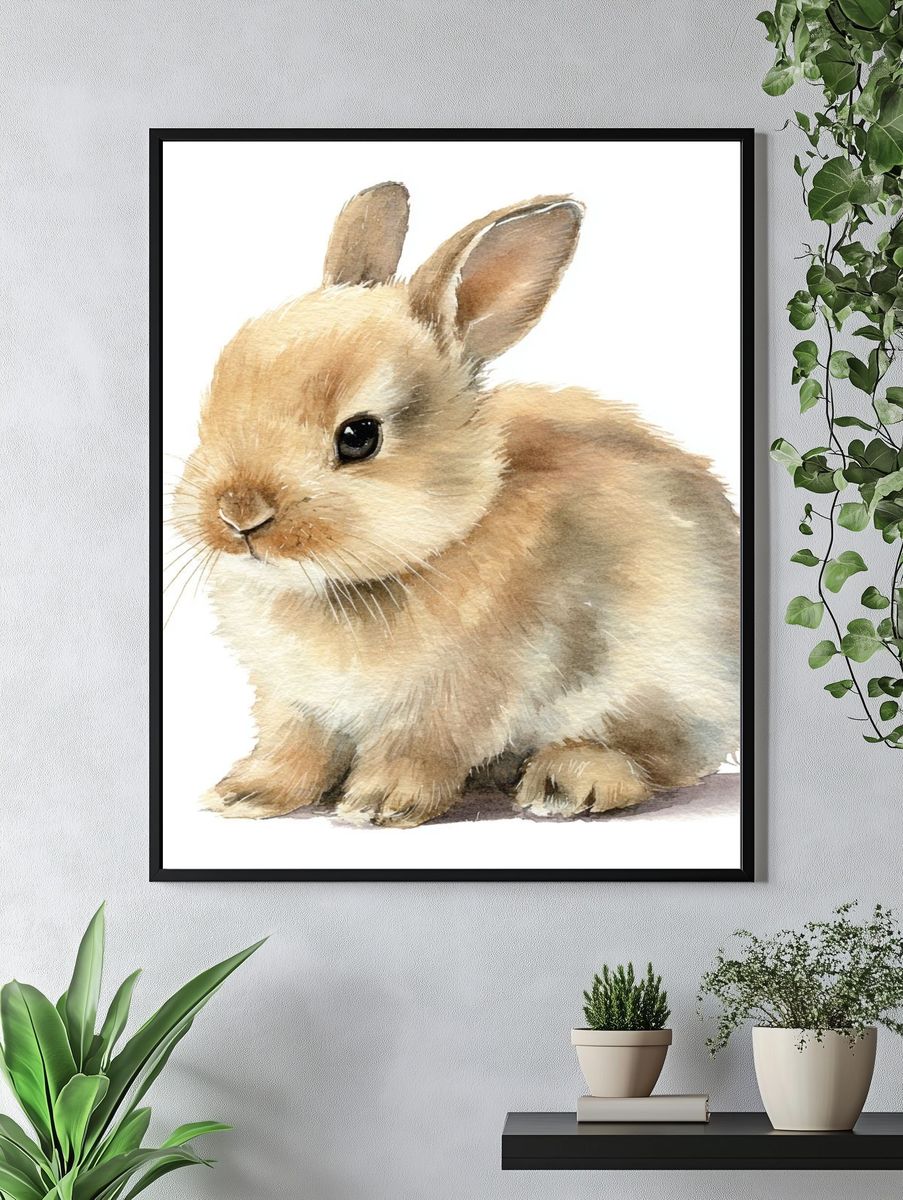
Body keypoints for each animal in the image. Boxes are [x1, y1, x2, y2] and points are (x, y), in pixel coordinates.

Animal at [171, 181, 740, 828]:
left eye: (359, 436)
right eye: (216, 396)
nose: (237, 513)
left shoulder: (463, 693)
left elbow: (420, 747)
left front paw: (380, 804)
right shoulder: (293, 701)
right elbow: (295, 747)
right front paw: (247, 795)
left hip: (672, 684)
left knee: (655, 757)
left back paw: (567, 781)